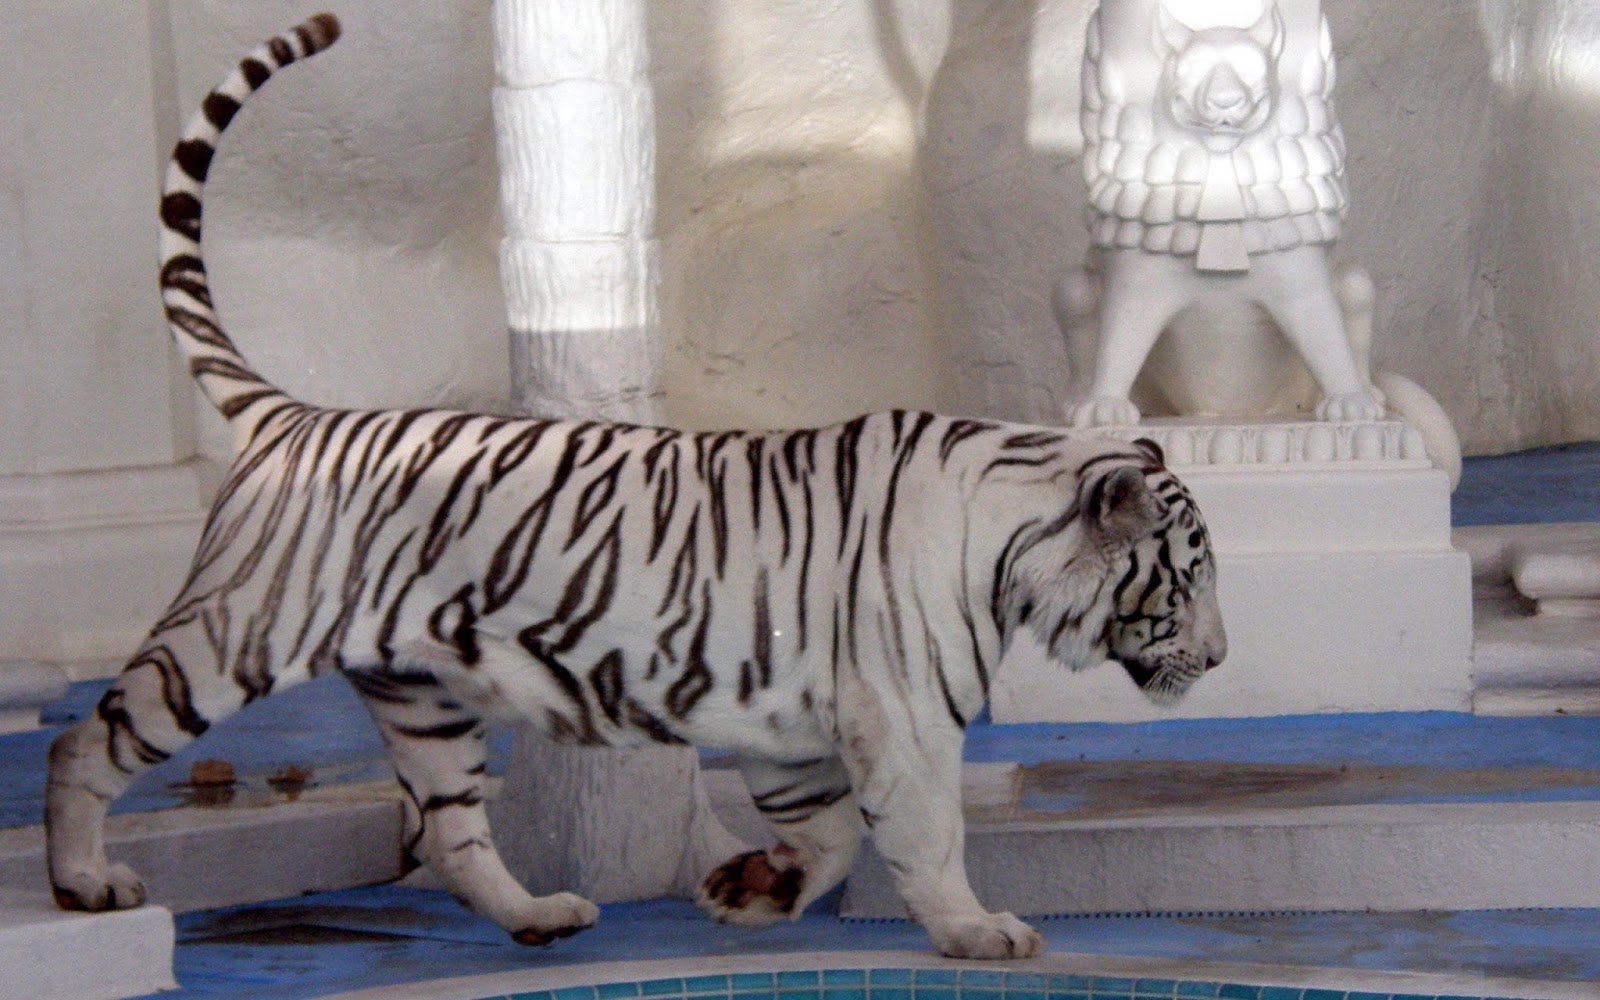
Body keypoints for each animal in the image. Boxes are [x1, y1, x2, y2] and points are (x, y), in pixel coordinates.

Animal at [44, 14, 1226, 961]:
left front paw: (752, 888)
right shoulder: (901, 717)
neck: (1010, 530)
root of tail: (295, 414)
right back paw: (82, 880)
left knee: (450, 830)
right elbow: (925, 834)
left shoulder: (793, 722)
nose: (1217, 658)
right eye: (1188, 577)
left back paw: (539, 916)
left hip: (423, 696)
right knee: (84, 739)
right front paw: (979, 931)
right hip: (232, 635)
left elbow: (829, 830)